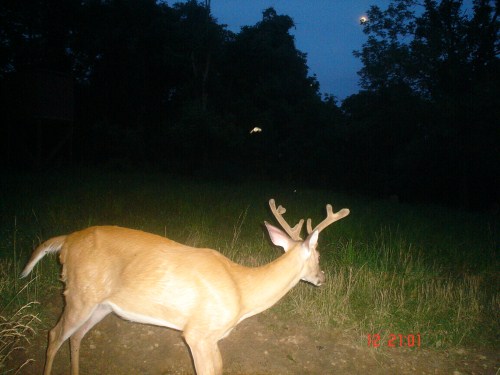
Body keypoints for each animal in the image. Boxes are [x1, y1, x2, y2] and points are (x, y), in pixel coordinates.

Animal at [19, 198, 348, 374]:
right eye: (318, 256)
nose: (321, 278)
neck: (242, 288)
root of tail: (66, 240)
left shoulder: (213, 337)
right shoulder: (197, 333)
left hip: (101, 304)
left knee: (75, 337)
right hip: (79, 293)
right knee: (54, 335)